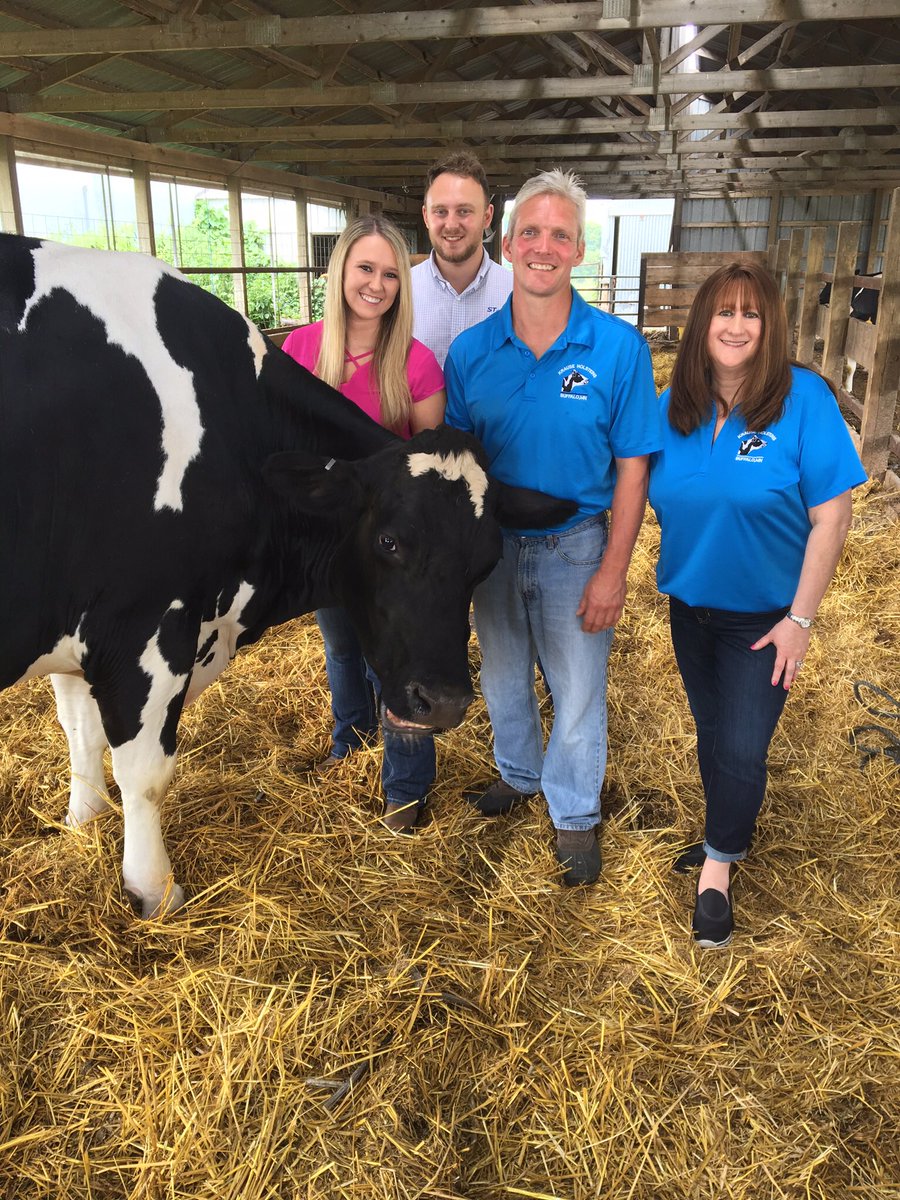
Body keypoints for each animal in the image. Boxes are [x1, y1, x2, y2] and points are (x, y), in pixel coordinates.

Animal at [0, 236, 573, 916]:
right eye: (388, 541)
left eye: (487, 561)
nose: (446, 702)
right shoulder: (143, 621)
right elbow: (143, 769)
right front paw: (154, 890)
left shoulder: (75, 623)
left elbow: (79, 730)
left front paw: (81, 822)